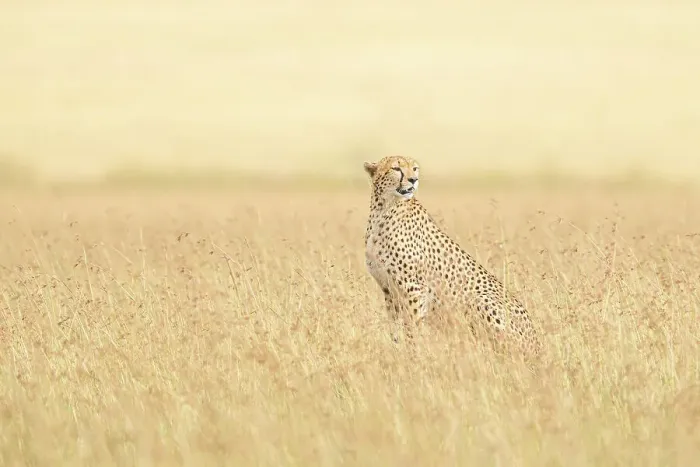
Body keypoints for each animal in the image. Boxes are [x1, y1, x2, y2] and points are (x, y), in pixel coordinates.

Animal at [363, 155, 542, 358]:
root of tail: (537, 345)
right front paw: (397, 349)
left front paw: (415, 354)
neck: (384, 208)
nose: (413, 180)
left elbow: (413, 327)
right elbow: (395, 327)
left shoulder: (414, 289)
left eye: (414, 168)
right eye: (396, 168)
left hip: (481, 299)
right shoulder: (388, 289)